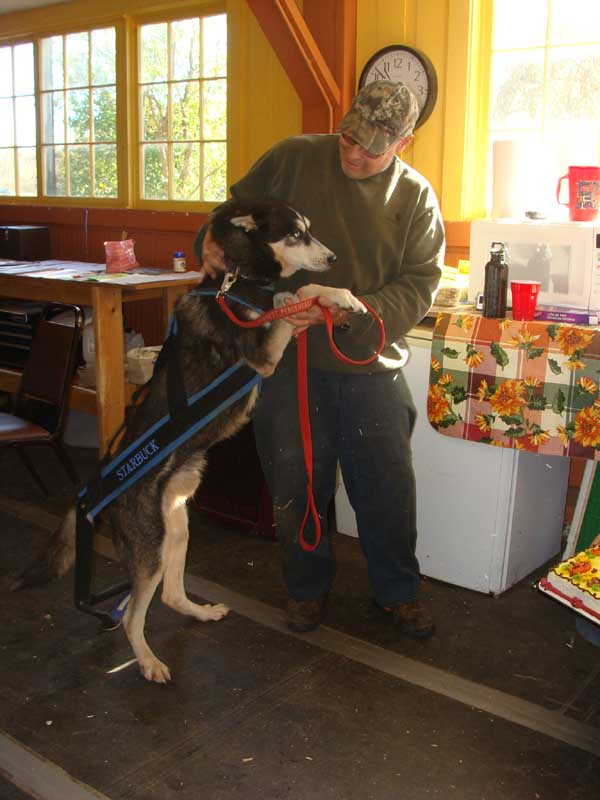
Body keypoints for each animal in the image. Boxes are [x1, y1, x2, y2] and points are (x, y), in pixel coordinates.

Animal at [14, 198, 368, 680]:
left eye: (309, 230)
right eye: (295, 234)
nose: (333, 258)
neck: (238, 281)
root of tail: (91, 492)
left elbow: (293, 296)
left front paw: (341, 296)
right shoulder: (263, 355)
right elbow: (298, 296)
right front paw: (333, 295)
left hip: (176, 530)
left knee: (169, 594)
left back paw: (199, 612)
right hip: (149, 548)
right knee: (132, 615)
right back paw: (148, 662)